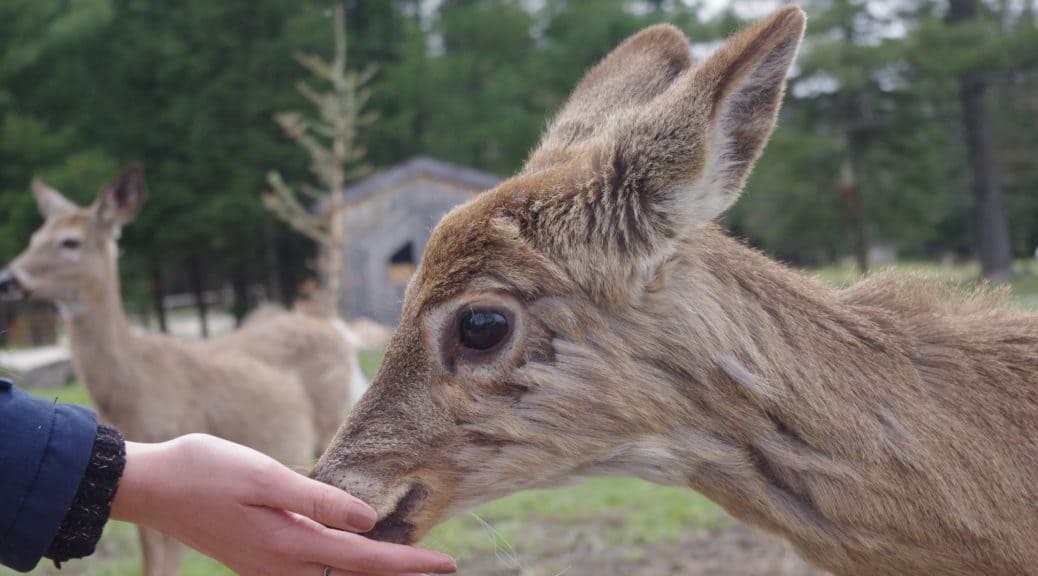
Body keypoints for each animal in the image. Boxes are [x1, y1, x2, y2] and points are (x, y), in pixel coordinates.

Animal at [0, 167, 367, 576]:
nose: (9, 279)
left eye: (70, 242)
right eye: (34, 237)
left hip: (331, 418)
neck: (134, 387)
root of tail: (340, 333)